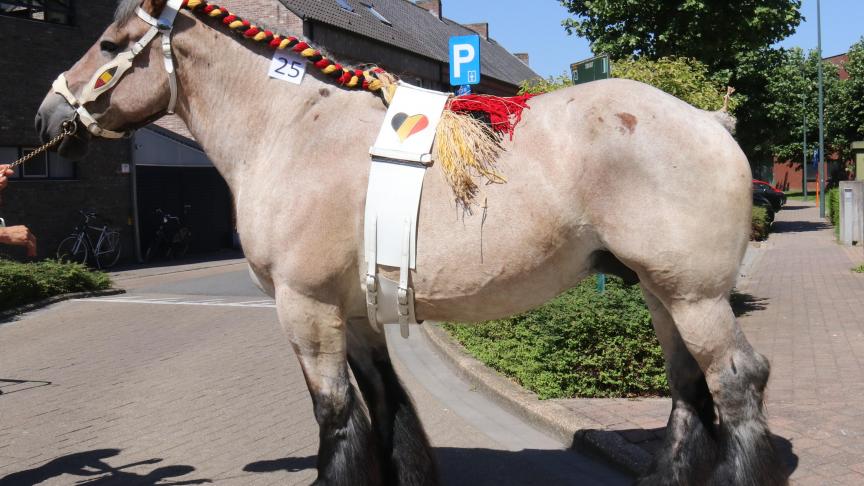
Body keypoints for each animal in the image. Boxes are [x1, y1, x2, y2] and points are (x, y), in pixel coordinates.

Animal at [35, 1, 788, 484]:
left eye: (111, 46)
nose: (47, 114)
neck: (291, 131)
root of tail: (711, 120)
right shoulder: (355, 308)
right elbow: (385, 399)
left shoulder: (305, 306)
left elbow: (336, 412)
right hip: (663, 293)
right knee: (688, 388)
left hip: (694, 297)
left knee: (736, 380)